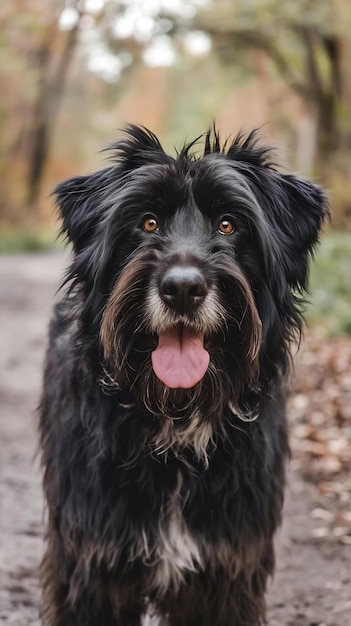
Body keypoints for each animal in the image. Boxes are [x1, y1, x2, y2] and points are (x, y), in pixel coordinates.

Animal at [38, 124, 330, 620]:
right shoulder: (92, 567)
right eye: (148, 222)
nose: (182, 289)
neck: (175, 422)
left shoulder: (227, 571)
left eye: (229, 224)